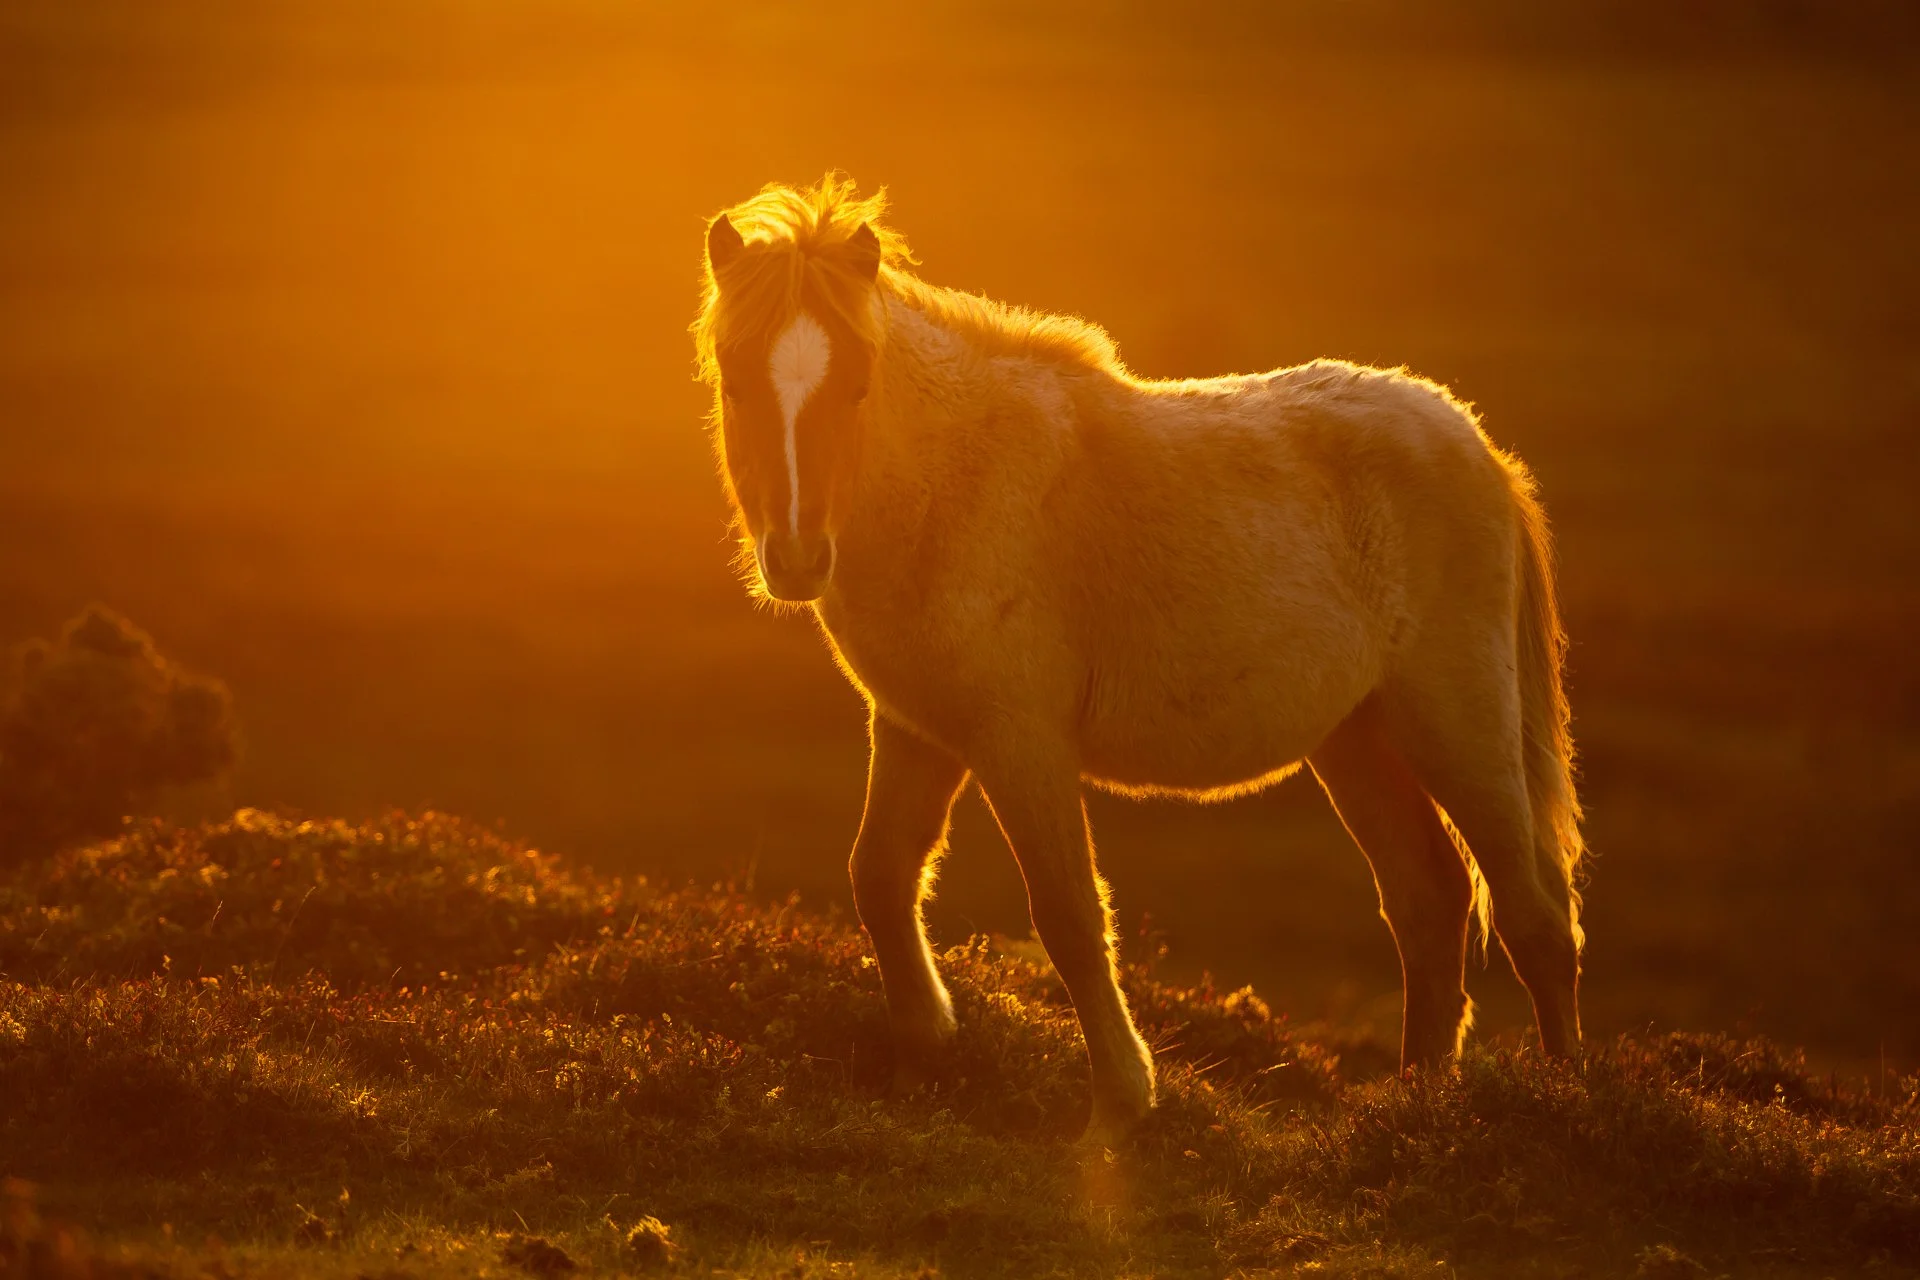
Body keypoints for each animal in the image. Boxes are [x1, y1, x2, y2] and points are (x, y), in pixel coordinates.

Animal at [693, 175, 1586, 1140]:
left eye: (856, 385)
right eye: (735, 381)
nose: (795, 558)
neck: (953, 487)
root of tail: (1476, 444)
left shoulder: (1020, 743)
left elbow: (1070, 914)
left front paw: (1121, 1098)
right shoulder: (915, 730)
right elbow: (880, 877)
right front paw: (926, 1052)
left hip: (1456, 721)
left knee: (1536, 916)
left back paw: (1567, 1100)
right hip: (1357, 738)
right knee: (1429, 902)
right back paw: (1420, 1100)